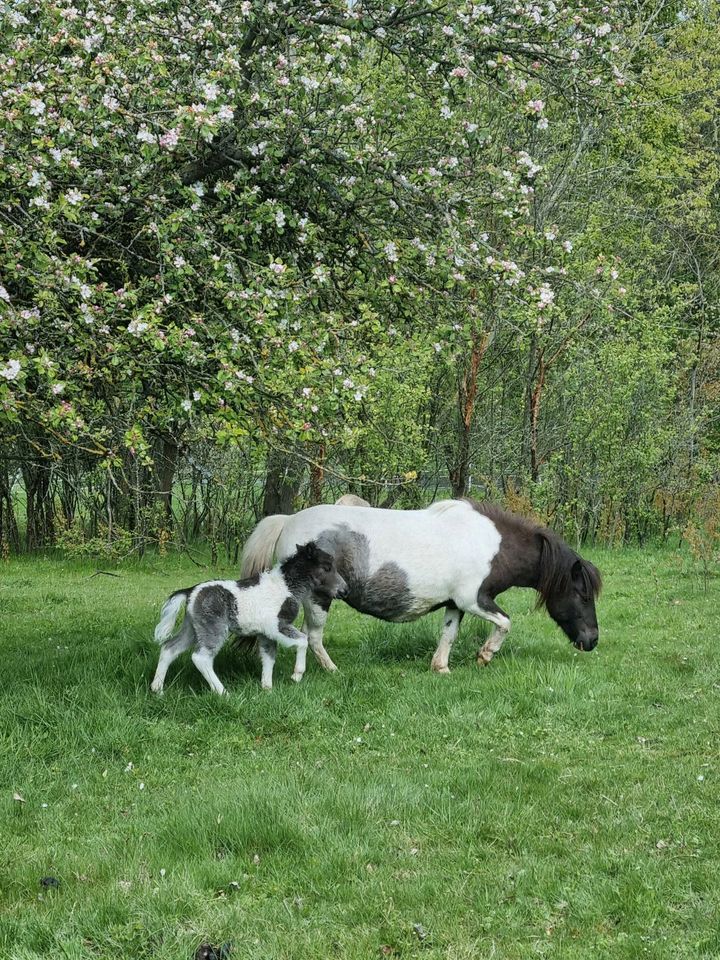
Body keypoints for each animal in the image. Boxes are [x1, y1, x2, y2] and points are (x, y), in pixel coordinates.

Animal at [150, 540, 348, 688]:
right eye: (327, 567)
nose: (345, 590)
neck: (286, 587)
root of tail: (190, 591)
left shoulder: (266, 633)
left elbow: (268, 658)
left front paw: (267, 688)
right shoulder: (278, 626)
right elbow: (302, 640)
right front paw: (297, 675)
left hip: (192, 628)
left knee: (169, 648)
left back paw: (157, 689)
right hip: (214, 628)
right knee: (201, 658)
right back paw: (222, 692)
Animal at [242, 502, 600, 676]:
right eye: (583, 594)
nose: (592, 641)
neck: (493, 545)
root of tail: (287, 521)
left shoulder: (456, 604)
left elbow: (448, 635)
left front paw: (441, 668)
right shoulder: (474, 600)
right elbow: (505, 623)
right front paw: (485, 655)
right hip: (317, 599)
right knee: (313, 636)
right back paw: (332, 671)